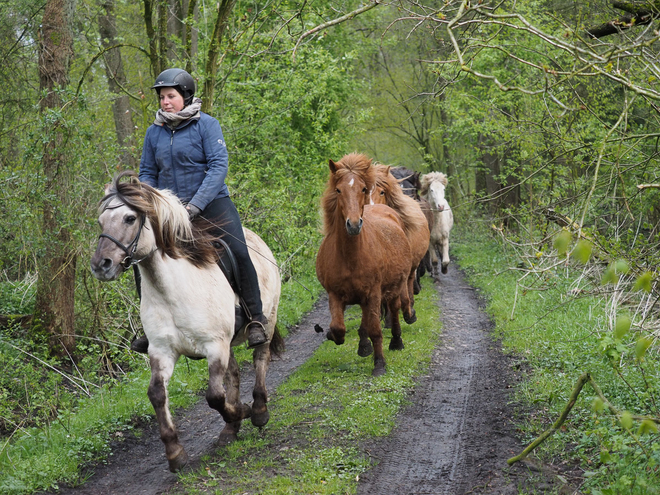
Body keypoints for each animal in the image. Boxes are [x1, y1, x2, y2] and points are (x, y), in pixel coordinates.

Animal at [90, 172, 282, 474]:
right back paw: (230, 430)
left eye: (130, 218)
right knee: (234, 374)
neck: (172, 290)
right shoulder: (163, 351)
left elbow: (214, 396)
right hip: (227, 344)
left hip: (267, 319)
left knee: (260, 358)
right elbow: (157, 393)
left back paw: (259, 411)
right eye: (101, 221)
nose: (101, 265)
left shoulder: (214, 346)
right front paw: (175, 453)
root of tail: (256, 238)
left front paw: (243, 410)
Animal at [318, 153, 416, 378]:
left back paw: (396, 341)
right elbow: (339, 327)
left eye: (363, 189)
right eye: (338, 190)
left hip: (392, 287)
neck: (350, 257)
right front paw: (332, 335)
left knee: (394, 309)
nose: (353, 225)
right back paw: (363, 346)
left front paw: (379, 364)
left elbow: (376, 330)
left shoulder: (373, 293)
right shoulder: (335, 294)